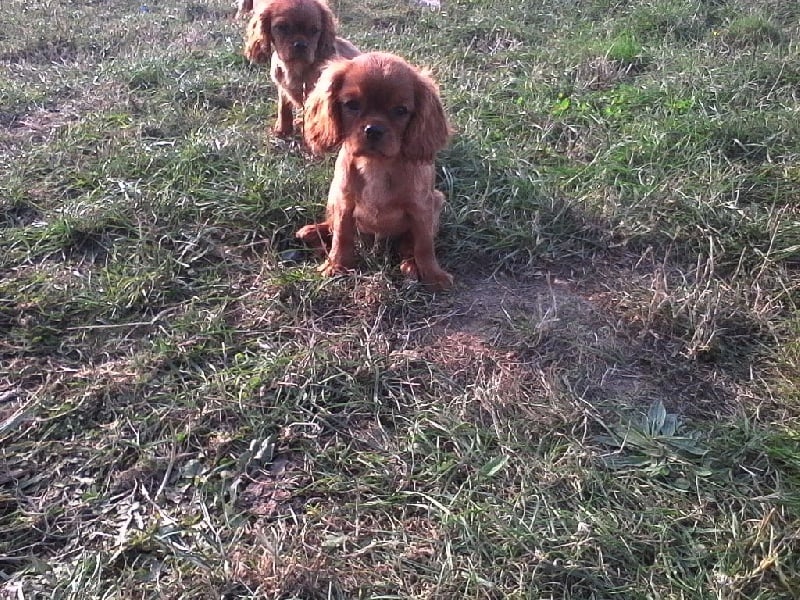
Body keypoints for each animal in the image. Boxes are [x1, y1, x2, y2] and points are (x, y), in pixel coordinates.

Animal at [241, 0, 360, 137]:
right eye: (282, 27)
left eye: (314, 30)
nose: (300, 45)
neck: (296, 67)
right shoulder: (282, 88)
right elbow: (283, 108)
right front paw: (283, 129)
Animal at [296, 52, 454, 292]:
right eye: (351, 105)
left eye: (401, 111)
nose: (374, 130)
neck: (376, 164)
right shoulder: (344, 201)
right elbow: (341, 235)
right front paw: (335, 265)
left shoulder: (423, 209)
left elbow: (424, 245)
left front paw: (433, 275)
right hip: (333, 197)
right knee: (331, 224)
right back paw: (313, 231)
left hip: (437, 201)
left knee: (409, 245)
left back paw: (410, 265)